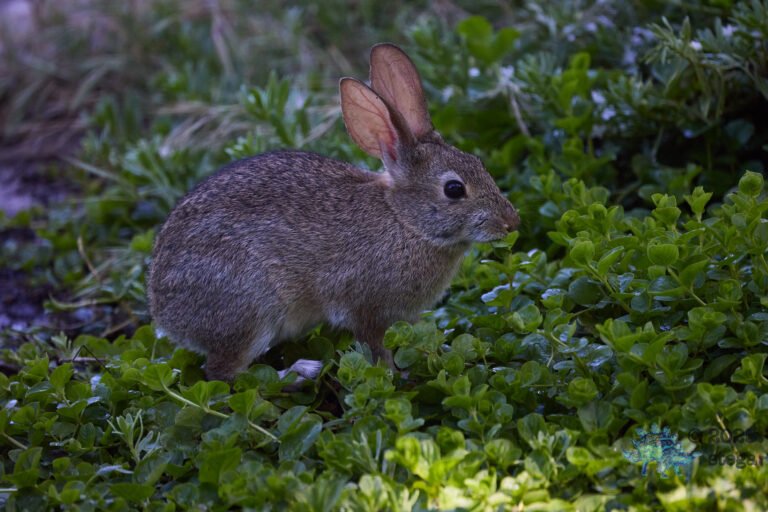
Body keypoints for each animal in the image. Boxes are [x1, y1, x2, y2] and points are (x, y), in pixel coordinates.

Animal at [147, 43, 520, 381]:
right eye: (454, 189)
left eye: (478, 162)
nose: (511, 222)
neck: (406, 221)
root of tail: (164, 312)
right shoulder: (366, 309)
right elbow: (376, 349)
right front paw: (392, 376)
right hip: (249, 310)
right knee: (225, 374)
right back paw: (302, 372)